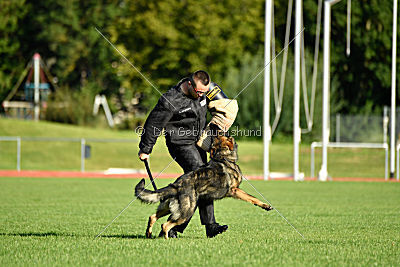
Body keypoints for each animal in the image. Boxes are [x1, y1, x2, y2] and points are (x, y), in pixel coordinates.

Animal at [134, 135, 272, 240]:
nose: (216, 131)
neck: (223, 157)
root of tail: (176, 185)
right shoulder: (235, 190)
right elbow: (252, 197)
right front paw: (265, 205)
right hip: (186, 212)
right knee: (165, 225)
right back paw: (166, 239)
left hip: (168, 208)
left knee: (152, 217)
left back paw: (149, 234)